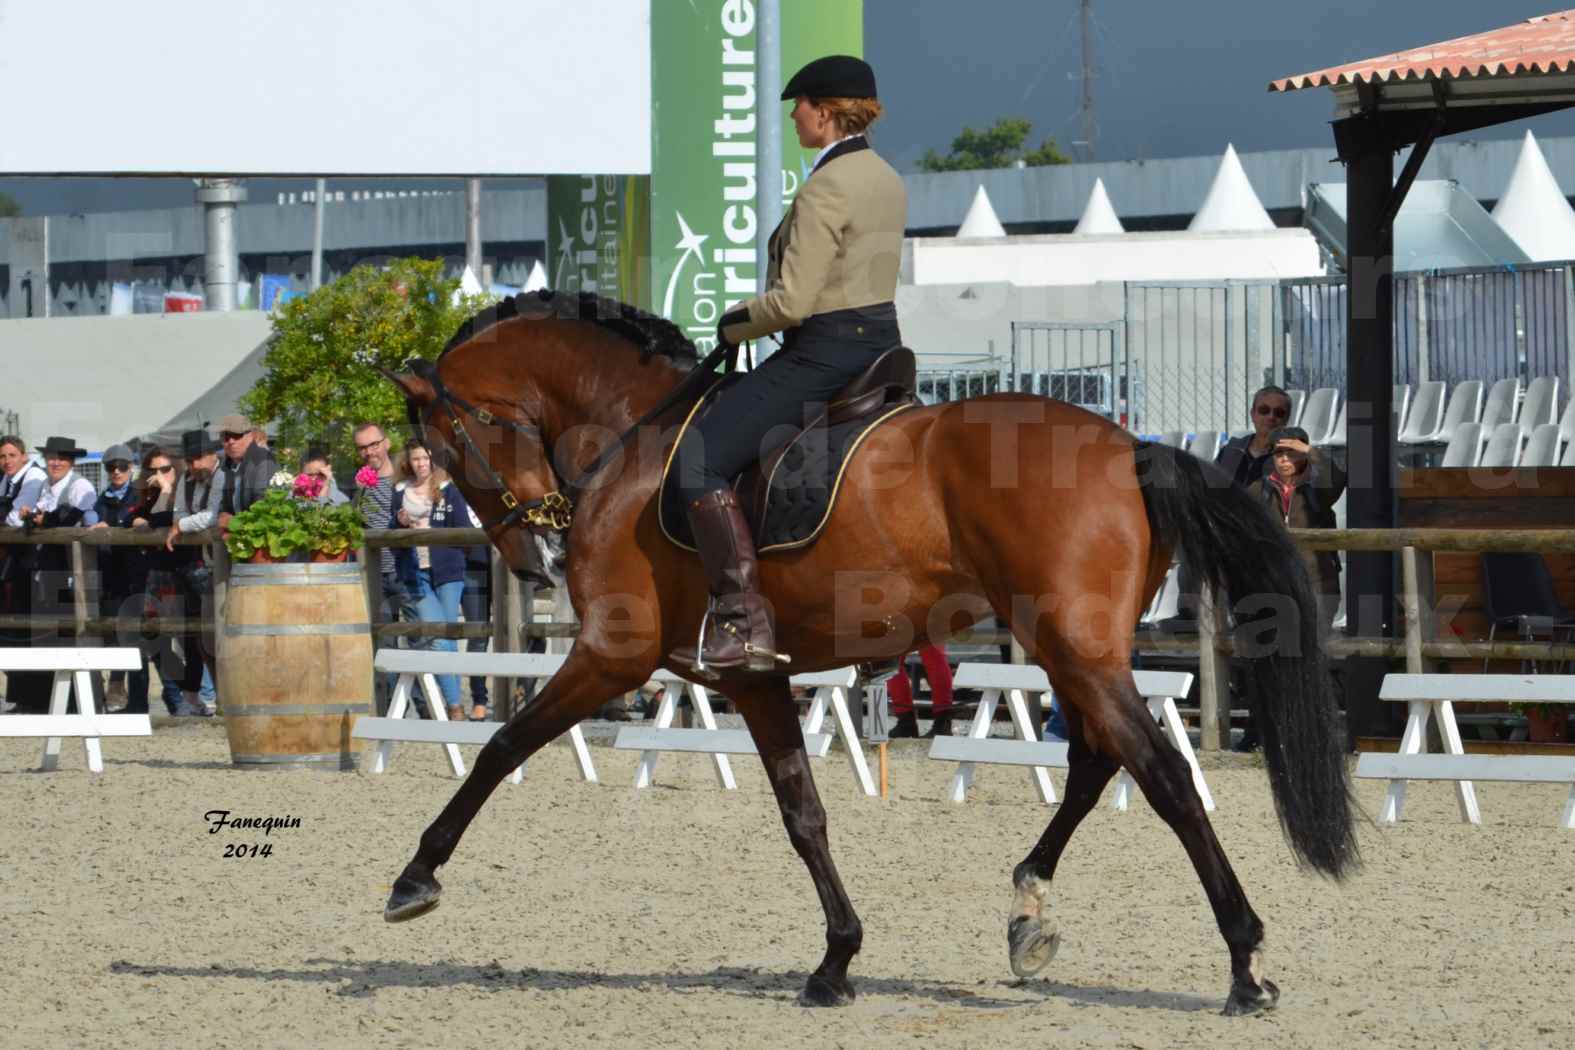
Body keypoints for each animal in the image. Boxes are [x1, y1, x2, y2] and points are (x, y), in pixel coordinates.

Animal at [378, 291, 1354, 1013]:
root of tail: (1129, 444)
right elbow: (801, 812)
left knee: (1163, 777)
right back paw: (1027, 910)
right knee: (1092, 764)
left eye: (444, 447)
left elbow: (500, 747)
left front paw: (415, 878)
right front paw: (836, 961)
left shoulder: (611, 654)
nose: (528, 558)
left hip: (1074, 651)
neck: (634, 438)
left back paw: (1243, 965)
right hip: (1065, 649)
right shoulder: (753, 678)